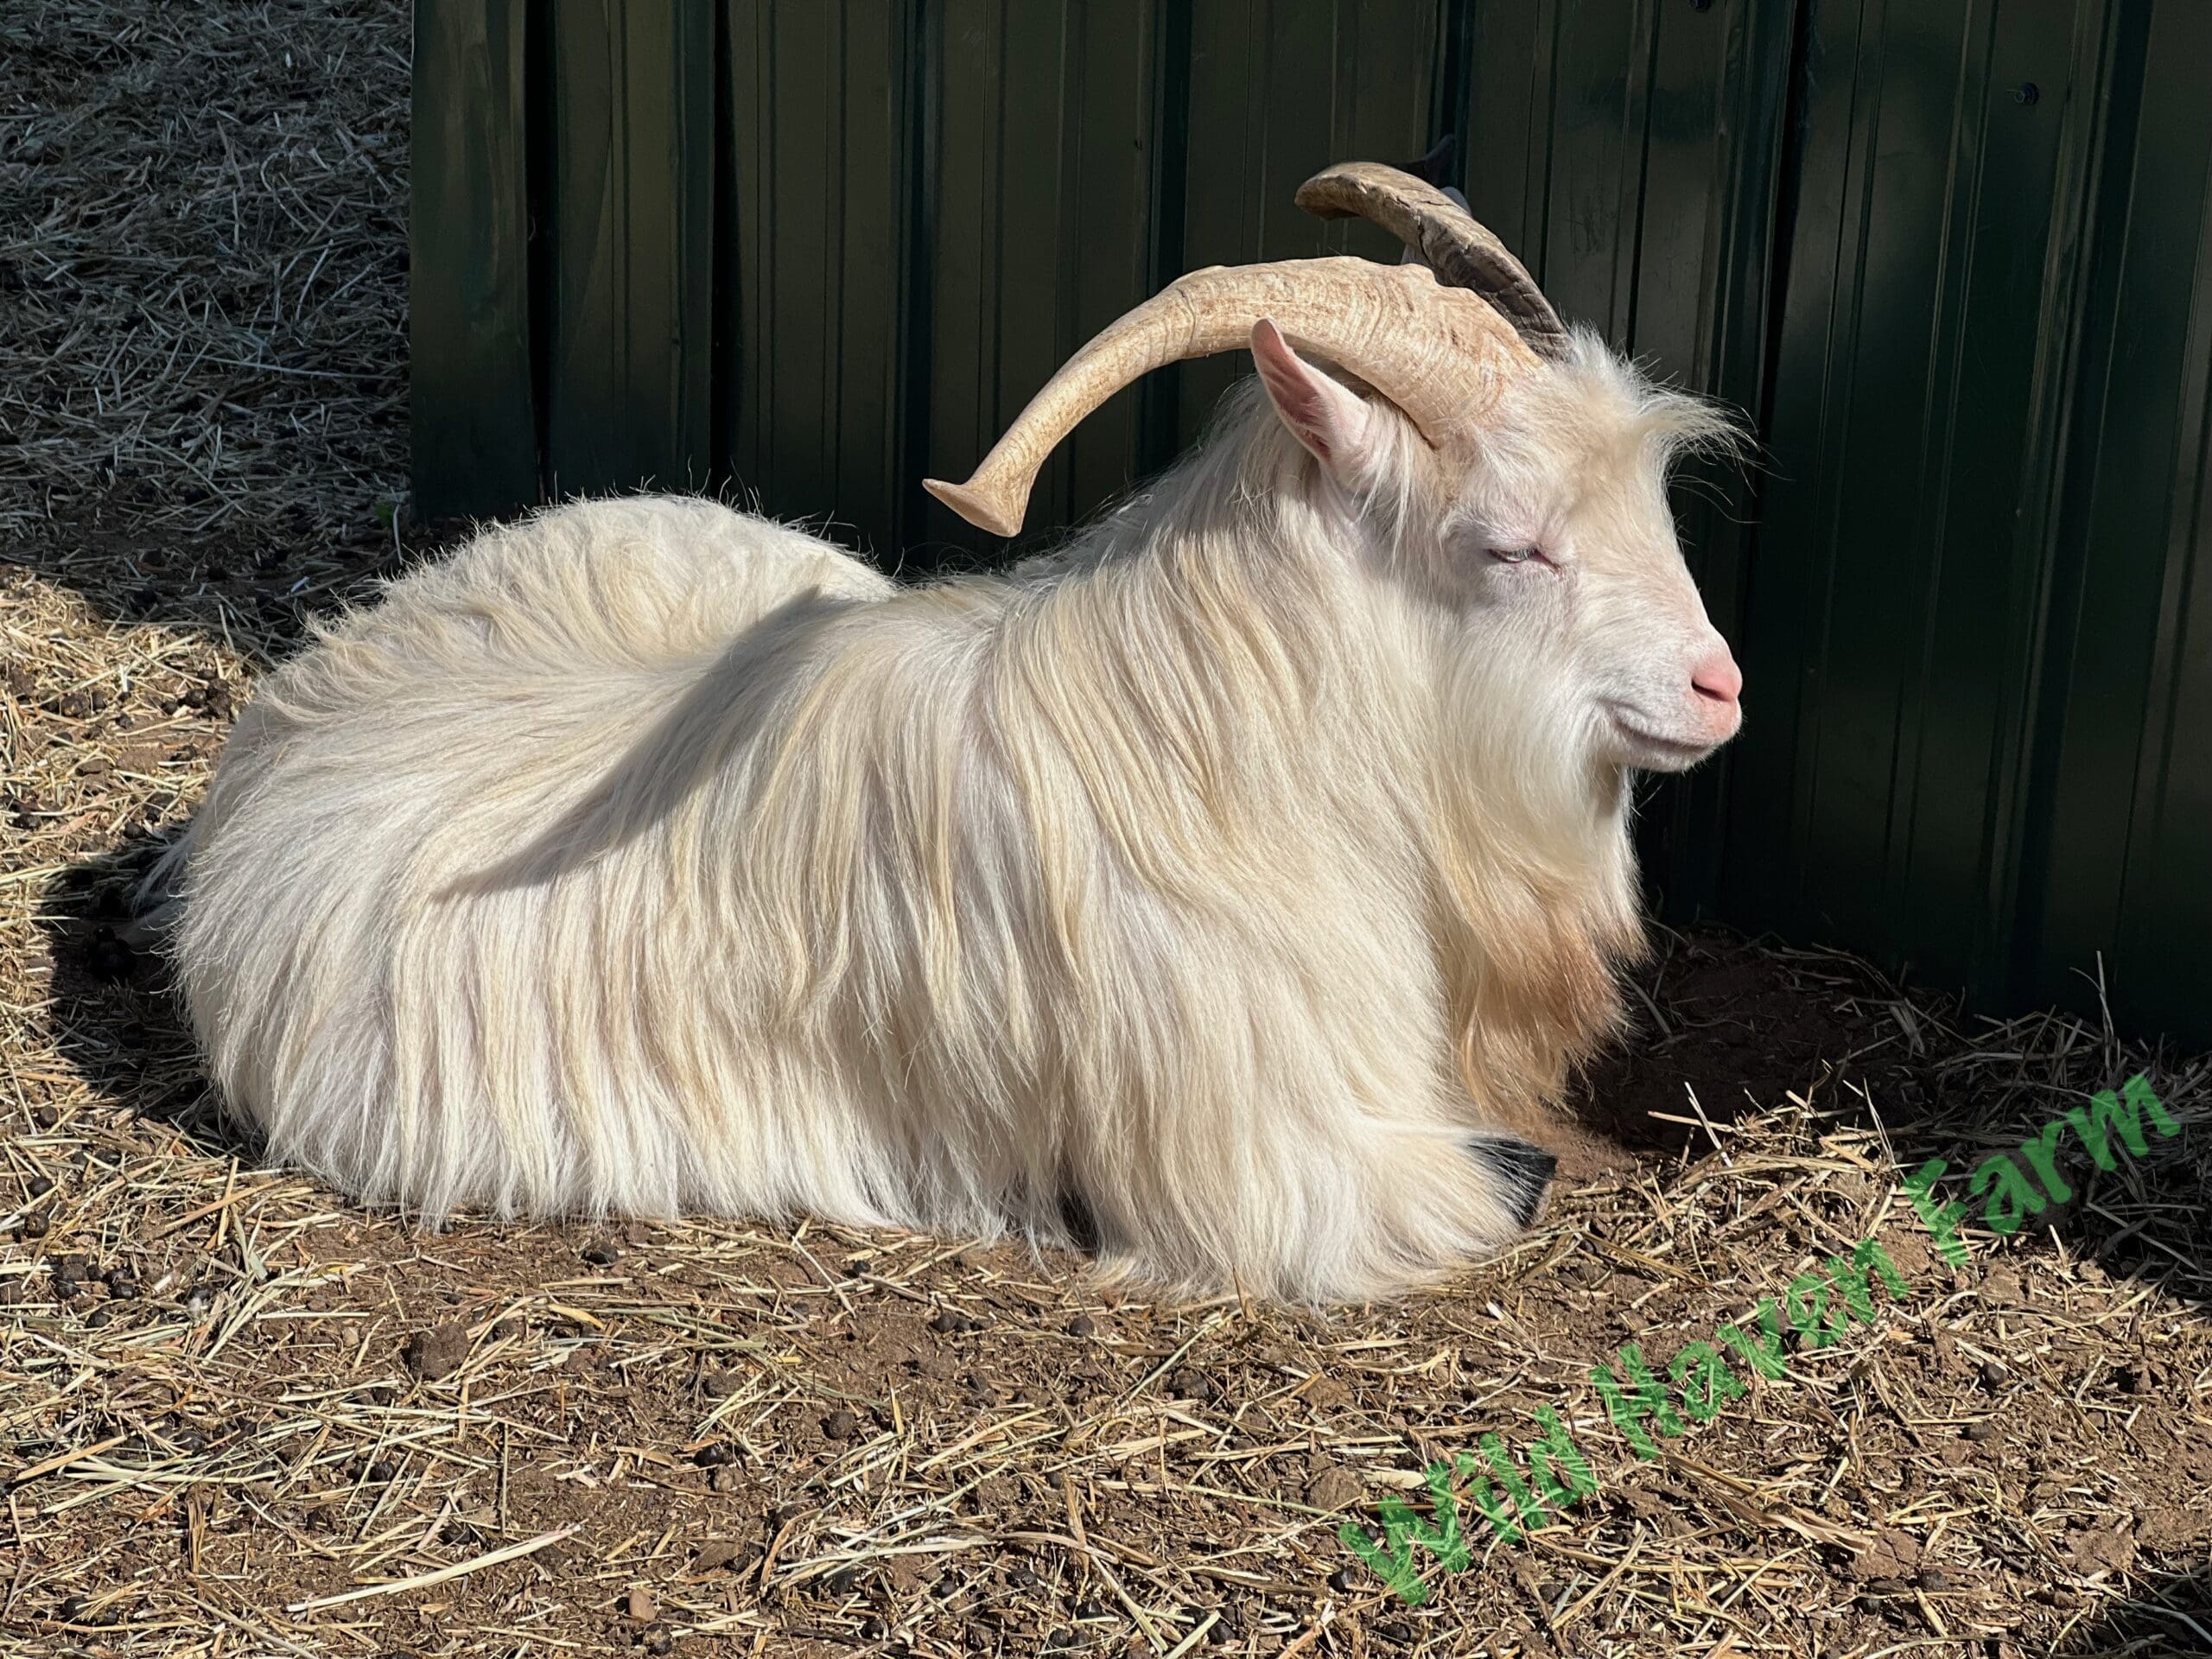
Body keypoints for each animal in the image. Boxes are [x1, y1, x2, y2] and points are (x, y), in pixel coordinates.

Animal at [160, 163, 1743, 1301]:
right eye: (1511, 544)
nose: (1718, 689)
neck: (1218, 760)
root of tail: (320, 674)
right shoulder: (1299, 1166)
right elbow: (1505, 1186)